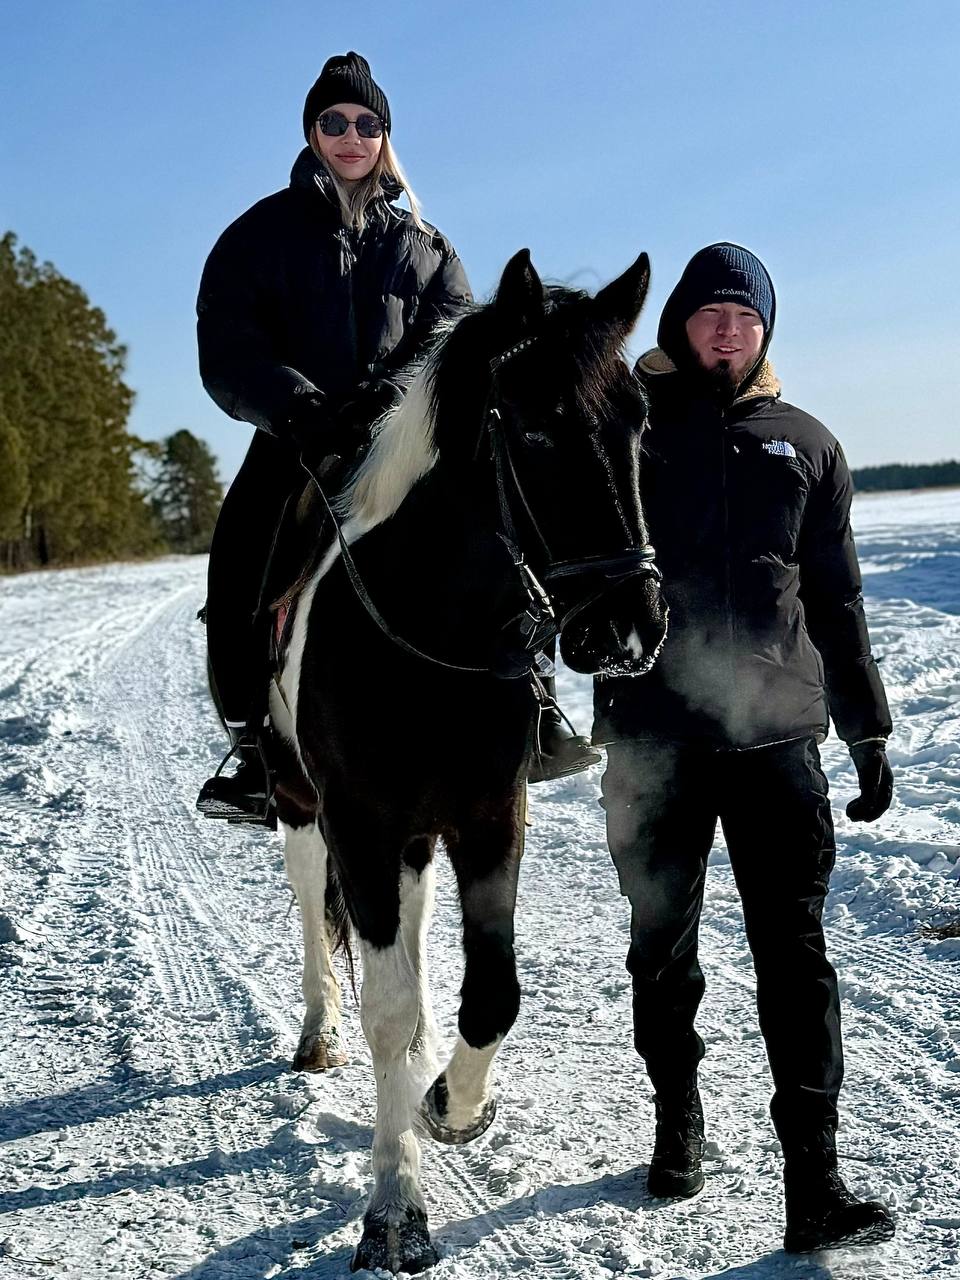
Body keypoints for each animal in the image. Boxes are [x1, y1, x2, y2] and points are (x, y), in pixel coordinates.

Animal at [267, 247, 665, 1269]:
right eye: (531, 425)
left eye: (638, 419)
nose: (631, 627)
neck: (429, 633)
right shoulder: (361, 824)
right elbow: (389, 1010)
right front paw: (395, 1207)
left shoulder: (488, 814)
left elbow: (493, 991)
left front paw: (453, 1102)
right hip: (301, 805)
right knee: (315, 910)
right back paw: (318, 1030)